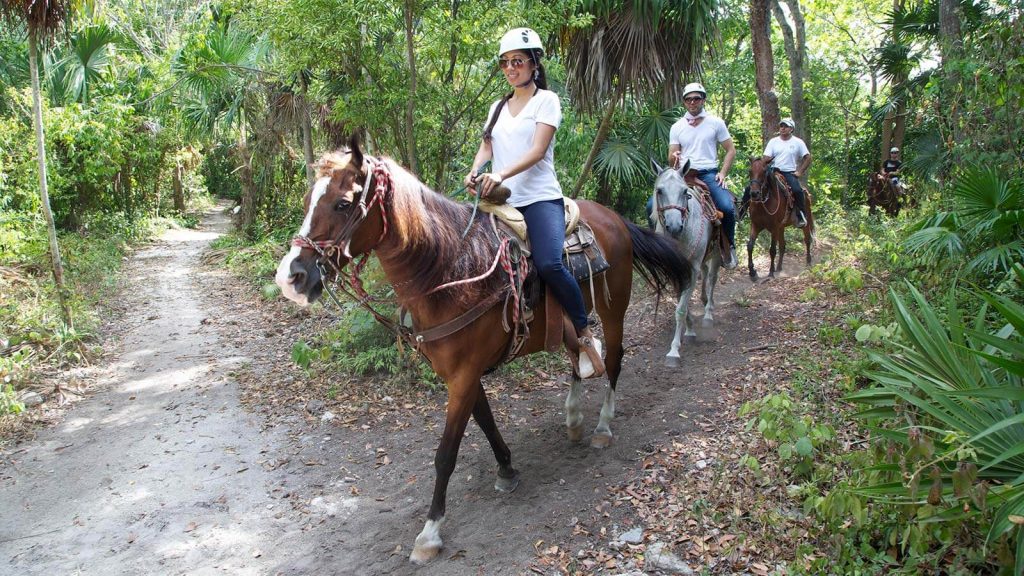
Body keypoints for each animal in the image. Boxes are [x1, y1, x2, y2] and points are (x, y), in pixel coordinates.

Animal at [272, 136, 692, 561]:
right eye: (308, 199)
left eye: (343, 203)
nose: (292, 277)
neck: (451, 272)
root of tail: (614, 218)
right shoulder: (460, 375)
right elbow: (487, 422)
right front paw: (506, 470)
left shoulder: (463, 375)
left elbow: (445, 454)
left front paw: (430, 532)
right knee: (578, 354)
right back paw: (573, 418)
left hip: (614, 306)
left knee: (615, 360)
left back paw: (603, 426)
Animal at [651, 159, 724, 366]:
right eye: (659, 190)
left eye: (685, 192)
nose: (675, 226)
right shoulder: (674, 270)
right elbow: (682, 302)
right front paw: (690, 330)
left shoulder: (691, 269)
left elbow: (681, 309)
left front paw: (674, 351)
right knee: (705, 274)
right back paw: (704, 300)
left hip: (716, 254)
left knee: (712, 279)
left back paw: (708, 313)